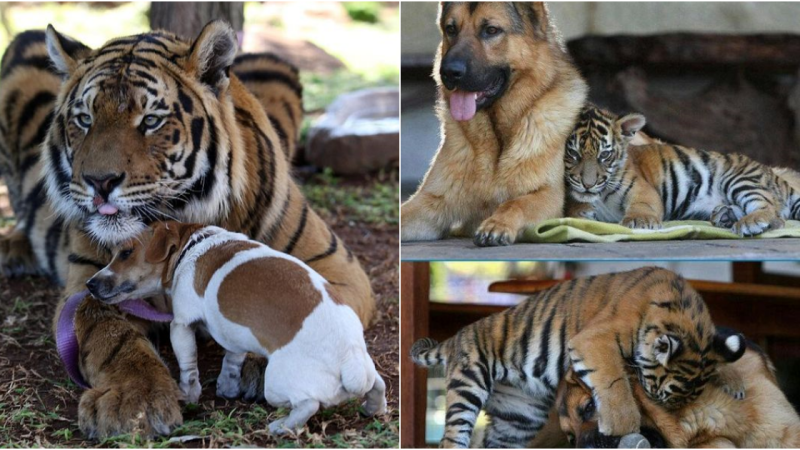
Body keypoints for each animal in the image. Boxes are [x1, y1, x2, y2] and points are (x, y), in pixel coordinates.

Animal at [87, 221, 388, 436]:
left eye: (126, 253)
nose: (90, 283)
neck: (191, 246)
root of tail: (349, 358)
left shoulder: (181, 324)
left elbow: (188, 366)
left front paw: (189, 393)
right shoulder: (236, 334)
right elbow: (232, 361)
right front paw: (227, 386)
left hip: (277, 384)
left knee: (309, 403)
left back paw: (282, 426)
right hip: (367, 370)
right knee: (378, 384)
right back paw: (375, 407)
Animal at [404, 1, 584, 246]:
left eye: (491, 30)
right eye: (451, 29)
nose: (448, 72)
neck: (496, 137)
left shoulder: (549, 197)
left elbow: (515, 203)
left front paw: (497, 224)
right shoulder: (430, 202)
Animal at [410, 268, 748, 446]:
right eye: (657, 394)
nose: (664, 414)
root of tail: (454, 338)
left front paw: (736, 383)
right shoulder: (593, 340)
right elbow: (614, 385)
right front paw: (622, 425)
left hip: (519, 418)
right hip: (469, 385)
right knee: (452, 436)